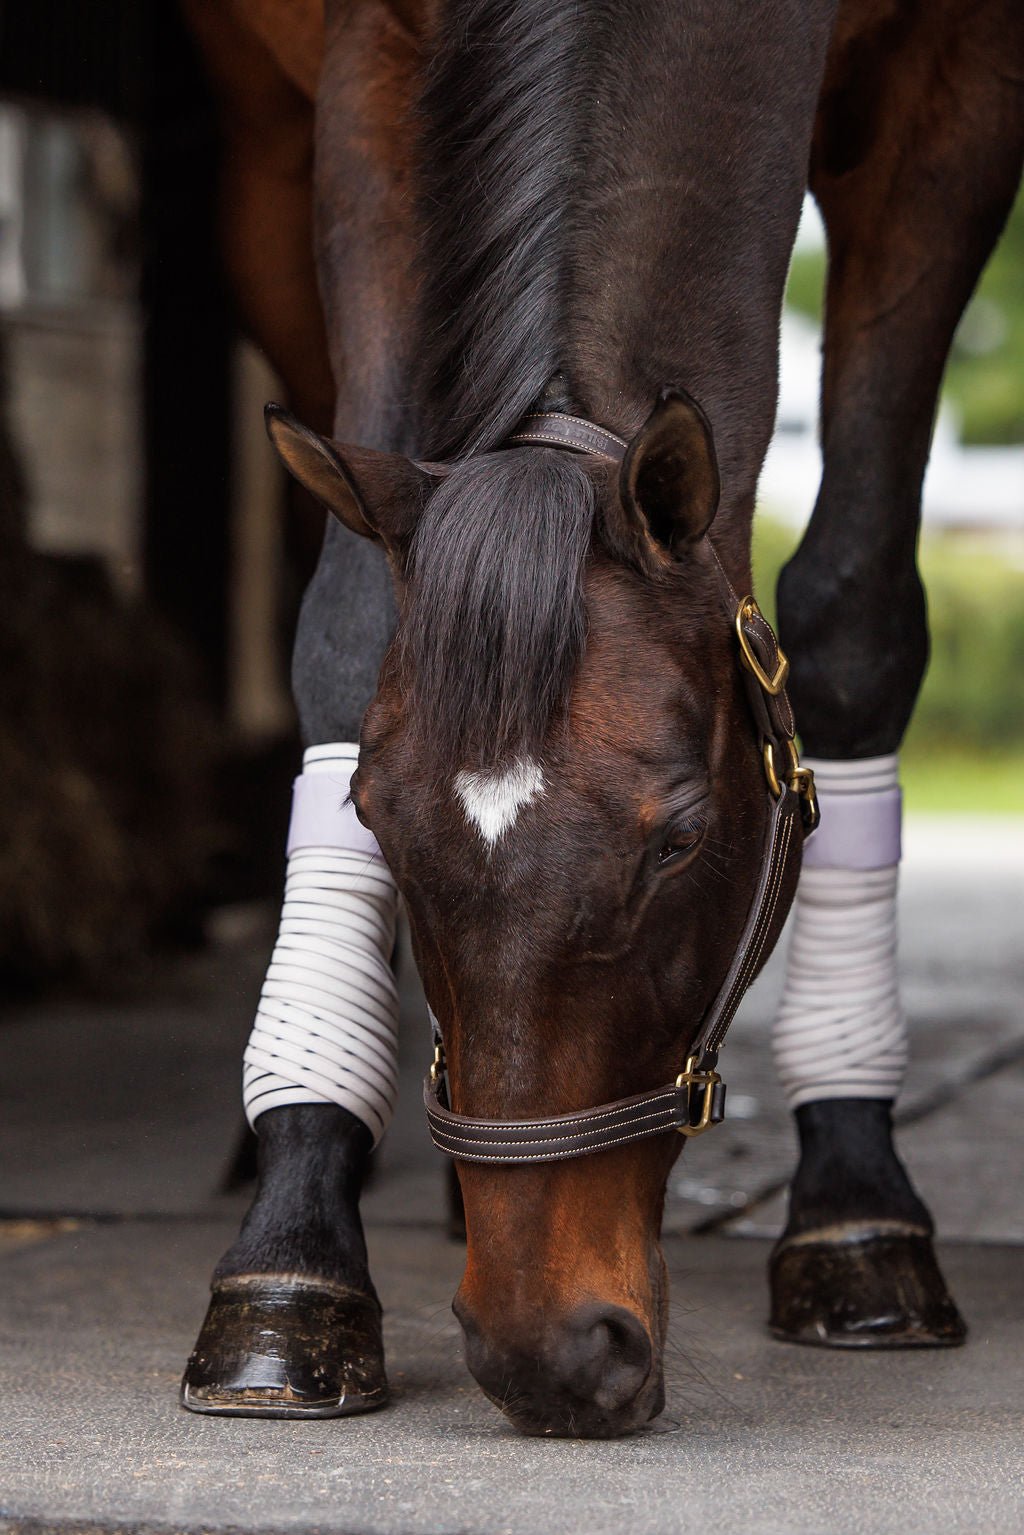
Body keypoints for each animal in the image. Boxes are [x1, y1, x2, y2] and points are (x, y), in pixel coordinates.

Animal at [179, 0, 1024, 1437]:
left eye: (678, 841)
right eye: (374, 822)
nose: (553, 1350)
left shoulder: (953, 99)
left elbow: (855, 616)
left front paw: (856, 1205)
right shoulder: (368, 76)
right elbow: (347, 620)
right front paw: (293, 1244)